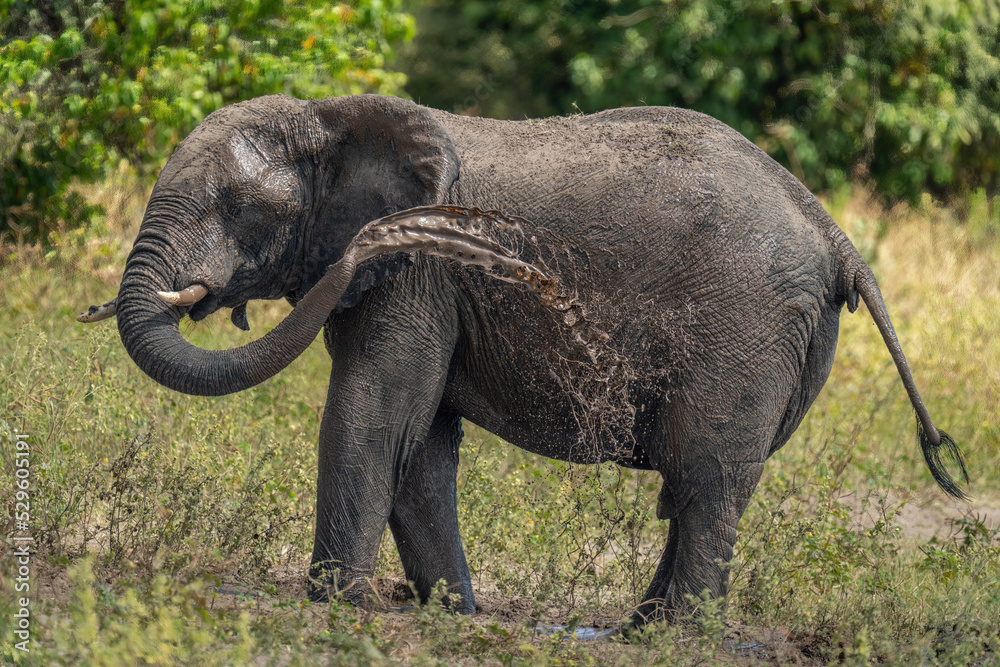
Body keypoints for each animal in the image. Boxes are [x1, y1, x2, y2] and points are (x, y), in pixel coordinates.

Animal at [80, 94, 968, 628]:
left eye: (240, 208)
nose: (386, 236)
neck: (333, 114)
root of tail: (833, 231)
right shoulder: (425, 289)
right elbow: (420, 444)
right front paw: (452, 614)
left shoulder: (420, 278)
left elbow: (372, 415)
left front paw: (340, 604)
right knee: (697, 489)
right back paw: (640, 629)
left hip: (745, 333)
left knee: (708, 478)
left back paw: (673, 635)